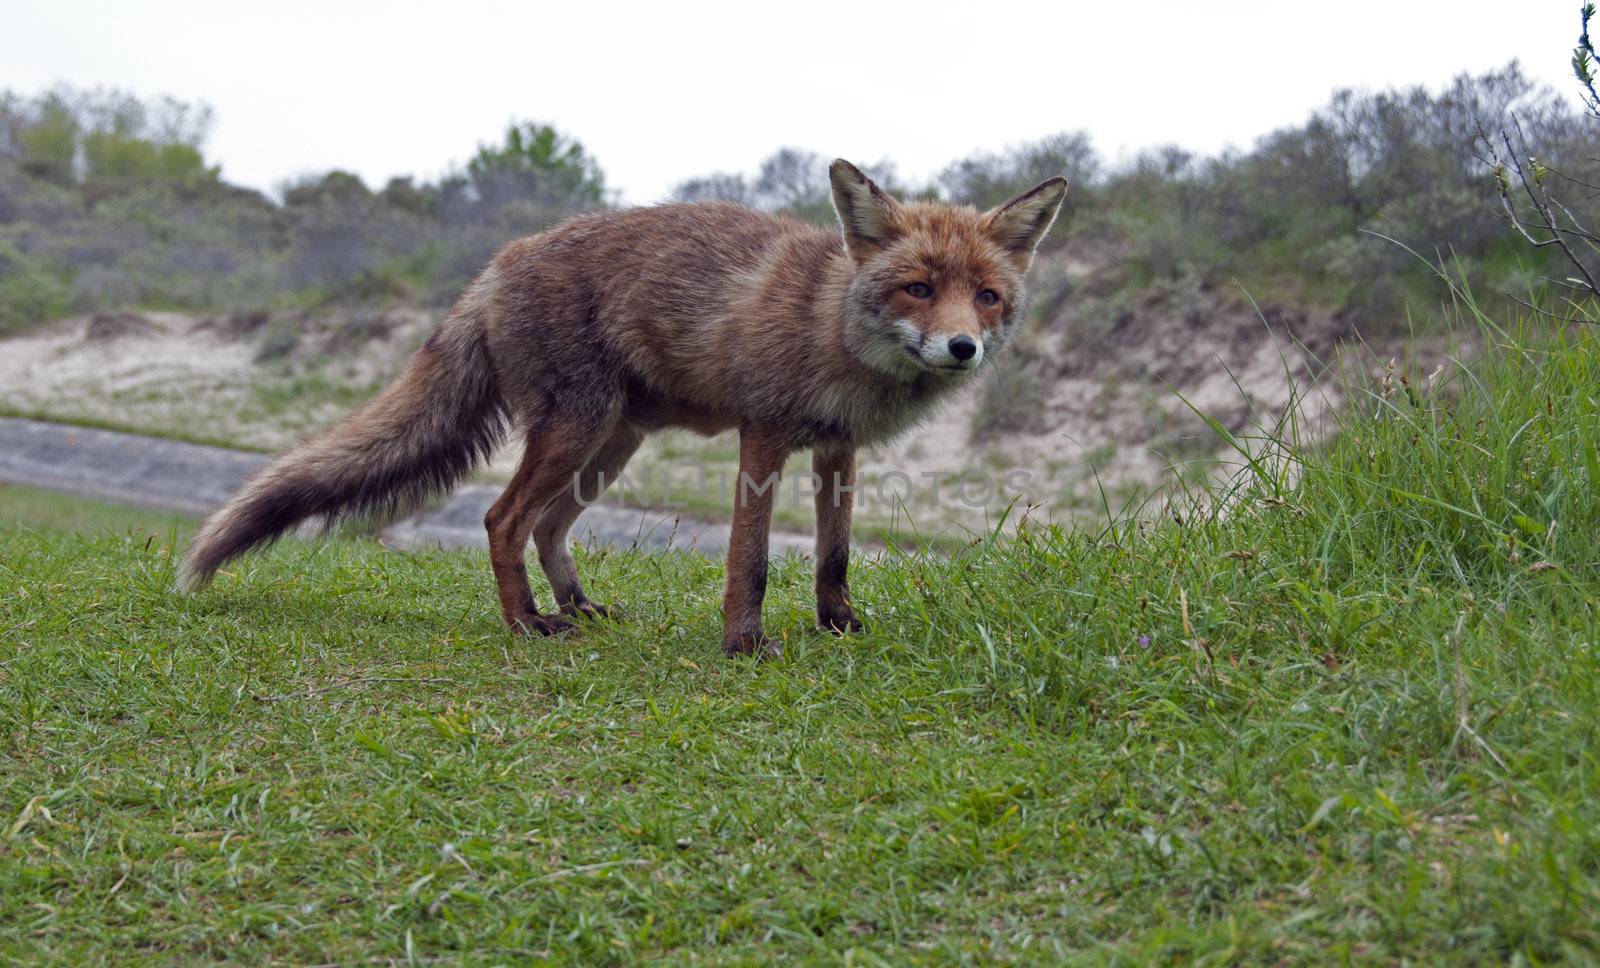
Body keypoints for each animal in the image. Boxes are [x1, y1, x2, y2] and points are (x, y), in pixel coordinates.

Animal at [178, 160, 1062, 656]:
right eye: (918, 288)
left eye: (985, 297)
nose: (962, 348)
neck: (830, 328)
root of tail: (492, 268)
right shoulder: (763, 436)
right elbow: (751, 560)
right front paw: (745, 645)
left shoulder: (836, 450)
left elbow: (834, 555)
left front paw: (838, 627)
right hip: (577, 432)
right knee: (502, 520)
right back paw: (528, 626)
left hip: (610, 444)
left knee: (545, 527)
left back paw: (577, 608)